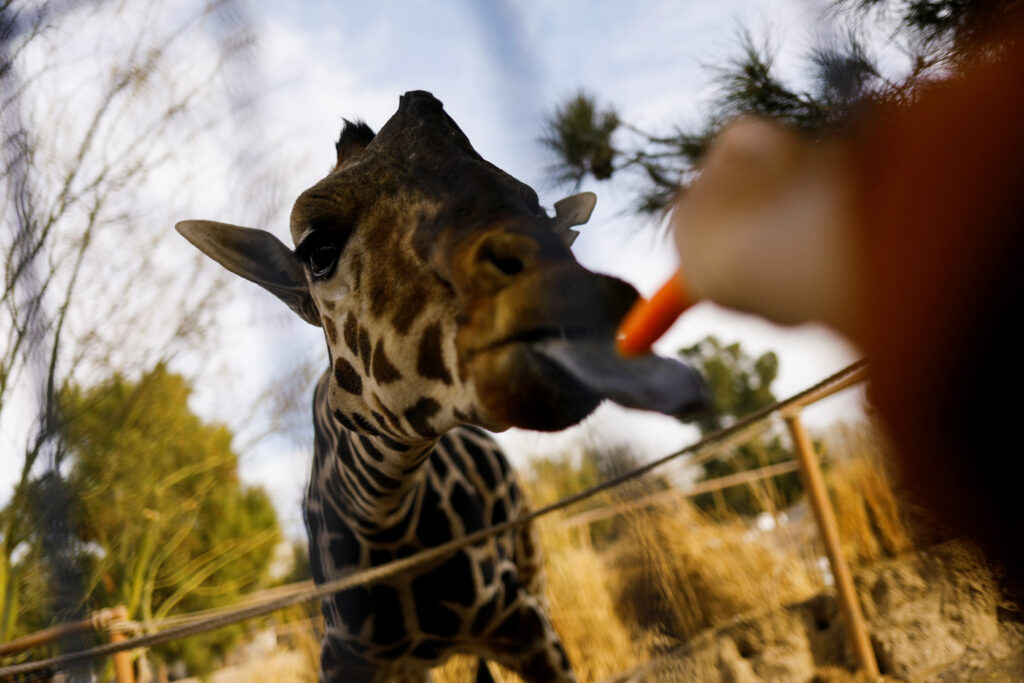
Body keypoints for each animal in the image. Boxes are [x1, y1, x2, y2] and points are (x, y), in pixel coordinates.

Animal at [176, 89, 704, 679]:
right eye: (317, 250)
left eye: (542, 212)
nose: (575, 298)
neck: (386, 525)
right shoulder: (348, 661)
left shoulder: (525, 622)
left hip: (533, 562)